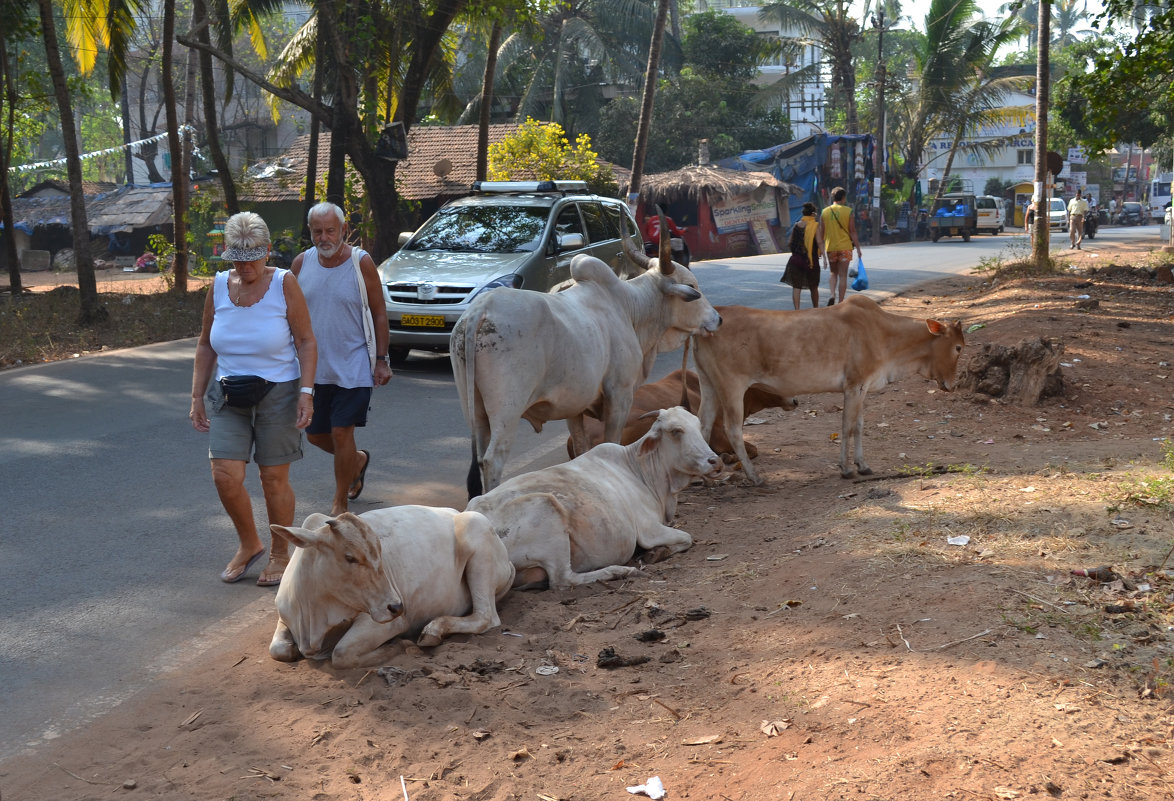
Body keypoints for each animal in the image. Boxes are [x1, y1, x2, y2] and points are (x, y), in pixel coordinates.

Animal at [271, 505, 518, 667]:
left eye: (379, 553)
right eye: (350, 557)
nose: (397, 607)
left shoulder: (387, 623)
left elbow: (341, 654)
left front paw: (400, 645)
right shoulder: (284, 615)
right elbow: (278, 650)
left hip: (478, 537)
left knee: (486, 617)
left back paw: (433, 630)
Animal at [464, 406, 718, 587]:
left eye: (698, 426)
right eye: (676, 431)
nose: (715, 461)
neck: (641, 471)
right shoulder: (648, 529)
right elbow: (687, 538)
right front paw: (656, 553)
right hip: (547, 509)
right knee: (563, 580)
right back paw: (619, 571)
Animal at [695, 293, 962, 481]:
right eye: (959, 347)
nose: (952, 385)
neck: (884, 334)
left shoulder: (862, 389)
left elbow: (859, 427)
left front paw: (862, 465)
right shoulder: (854, 386)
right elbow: (847, 427)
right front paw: (846, 469)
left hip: (708, 385)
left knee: (702, 424)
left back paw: (705, 481)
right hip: (731, 387)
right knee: (733, 430)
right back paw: (754, 476)